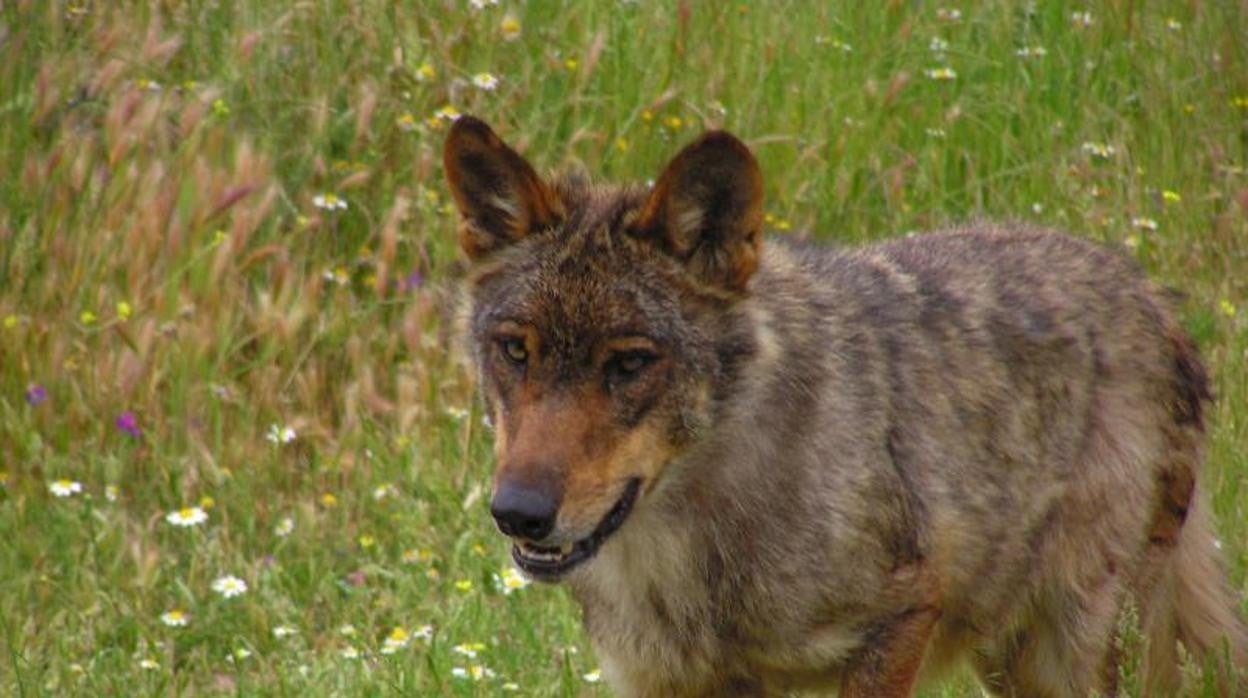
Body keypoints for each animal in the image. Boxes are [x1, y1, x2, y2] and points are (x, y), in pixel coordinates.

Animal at [444, 117, 1243, 694]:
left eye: (630, 364)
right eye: (516, 352)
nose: (518, 513)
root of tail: (1153, 296)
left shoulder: (900, 617)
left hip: (1069, 651)